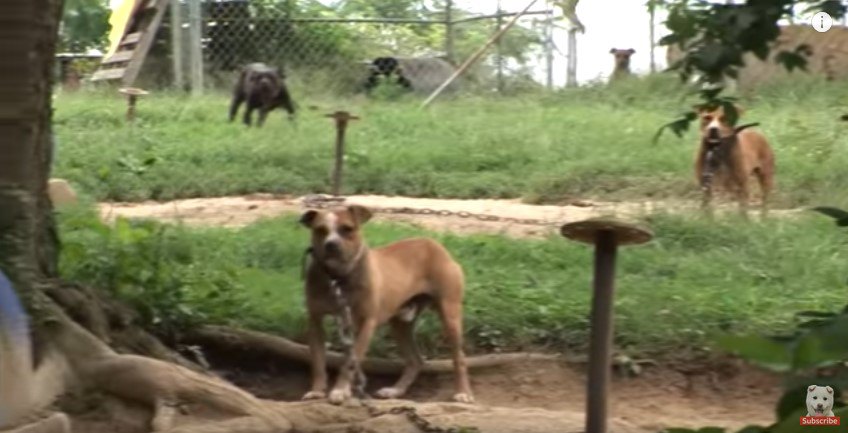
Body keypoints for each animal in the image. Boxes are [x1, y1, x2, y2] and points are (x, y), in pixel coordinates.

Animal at [298, 204, 474, 404]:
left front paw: (340, 390)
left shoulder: (367, 323)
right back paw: (395, 391)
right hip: (399, 324)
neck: (339, 277)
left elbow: (350, 361)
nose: (331, 244)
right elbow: (318, 362)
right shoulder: (315, 322)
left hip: (450, 314)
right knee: (415, 360)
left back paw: (463, 392)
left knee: (459, 357)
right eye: (320, 230)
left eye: (347, 229)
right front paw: (317, 391)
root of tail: (433, 244)